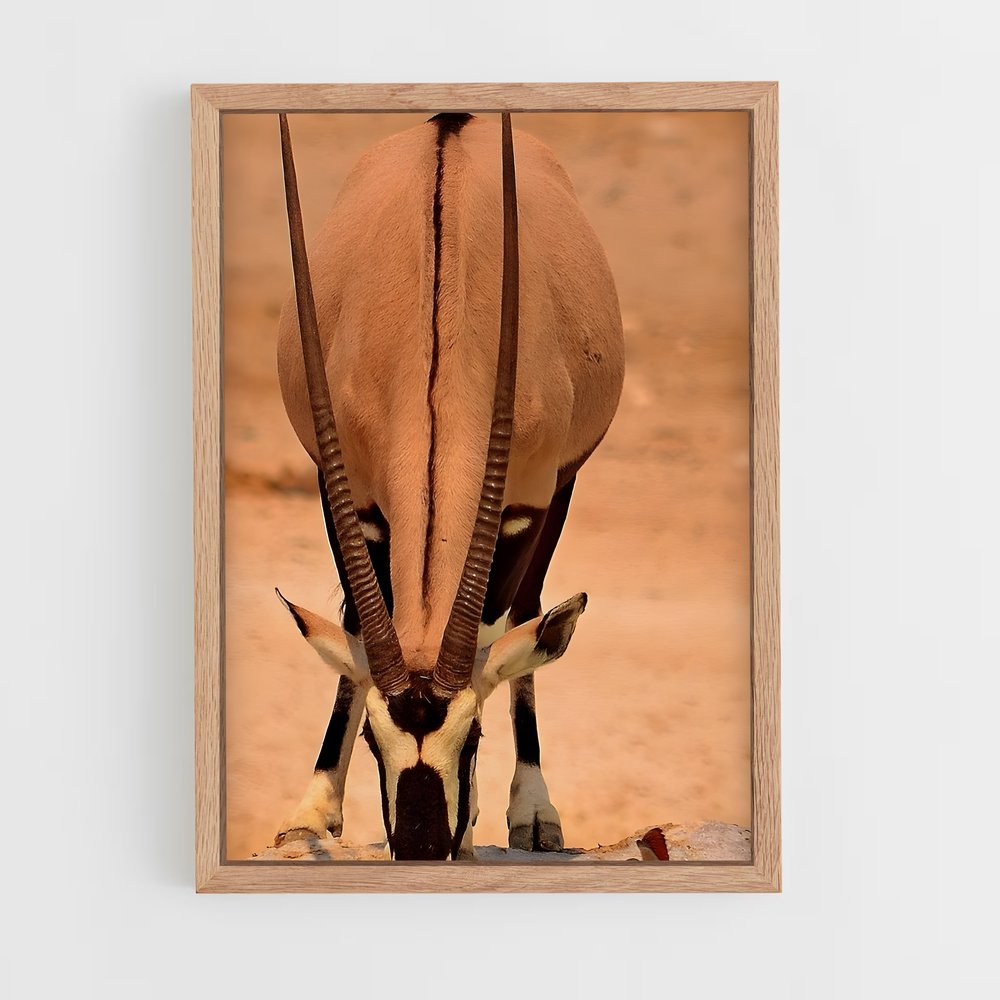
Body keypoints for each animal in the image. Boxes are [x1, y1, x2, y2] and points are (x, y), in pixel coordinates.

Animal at [273, 111, 624, 860]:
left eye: (474, 735)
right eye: (373, 739)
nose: (424, 846)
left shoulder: (531, 501)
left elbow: (507, 630)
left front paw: (517, 814)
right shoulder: (348, 495)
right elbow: (354, 625)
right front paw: (312, 812)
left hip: (562, 489)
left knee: (531, 609)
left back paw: (534, 812)